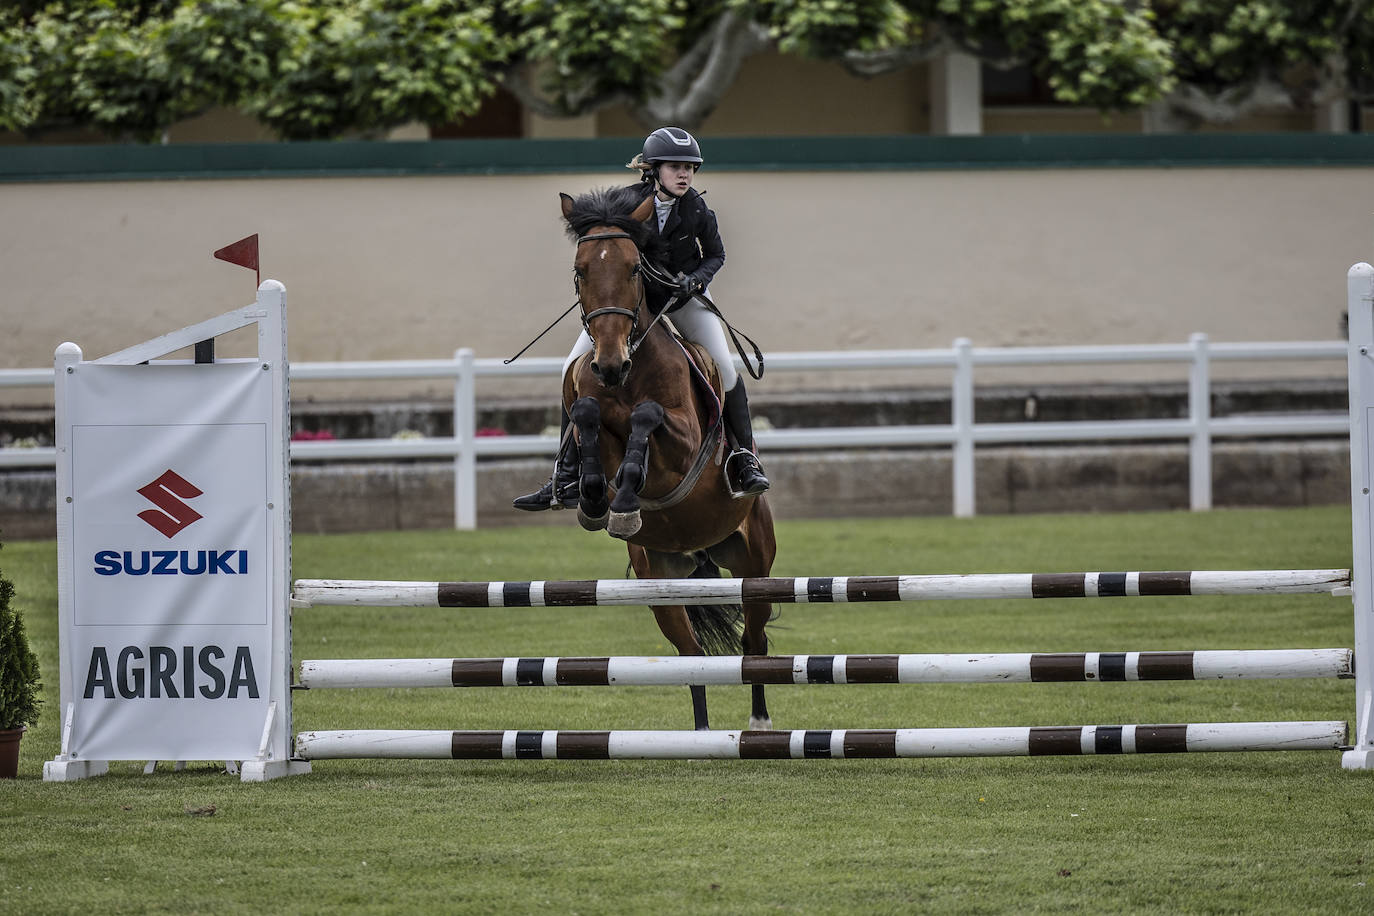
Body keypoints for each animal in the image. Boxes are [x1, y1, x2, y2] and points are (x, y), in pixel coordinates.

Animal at [555, 186, 774, 730]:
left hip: (755, 566)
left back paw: (760, 723)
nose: (610, 363)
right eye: (580, 270)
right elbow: (588, 414)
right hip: (661, 580)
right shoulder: (593, 406)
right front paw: (595, 501)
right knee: (691, 654)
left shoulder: (683, 444)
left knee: (753, 640)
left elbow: (648, 416)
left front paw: (623, 503)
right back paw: (700, 734)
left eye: (635, 267)